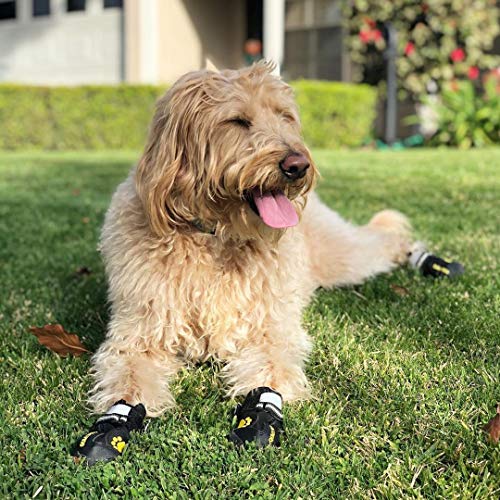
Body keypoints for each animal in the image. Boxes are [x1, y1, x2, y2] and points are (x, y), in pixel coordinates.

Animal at [76, 59, 412, 460]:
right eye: (237, 121)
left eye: (285, 116)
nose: (298, 165)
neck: (215, 237)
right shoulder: (140, 332)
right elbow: (129, 374)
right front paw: (120, 415)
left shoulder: (269, 329)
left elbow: (270, 371)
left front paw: (263, 410)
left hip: (341, 258)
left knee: (377, 241)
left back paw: (407, 245)